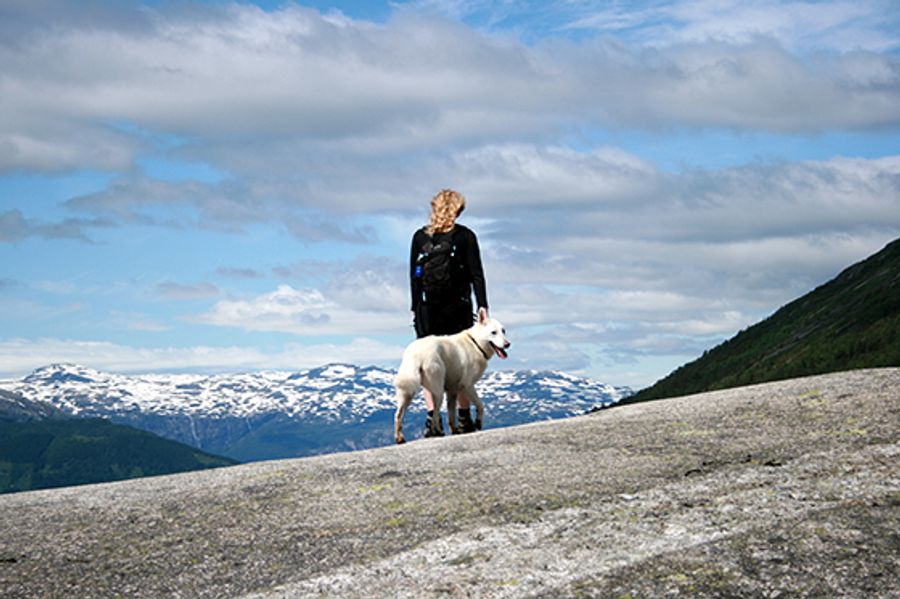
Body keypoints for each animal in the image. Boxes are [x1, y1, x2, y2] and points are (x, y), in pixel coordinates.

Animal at [396, 310, 512, 446]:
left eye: (503, 331)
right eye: (493, 332)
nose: (507, 344)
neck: (475, 343)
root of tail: (416, 354)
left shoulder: (452, 392)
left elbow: (451, 416)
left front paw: (455, 431)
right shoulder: (468, 386)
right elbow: (480, 405)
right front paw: (477, 422)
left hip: (407, 394)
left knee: (399, 415)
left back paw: (400, 438)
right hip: (438, 392)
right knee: (435, 414)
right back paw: (436, 432)